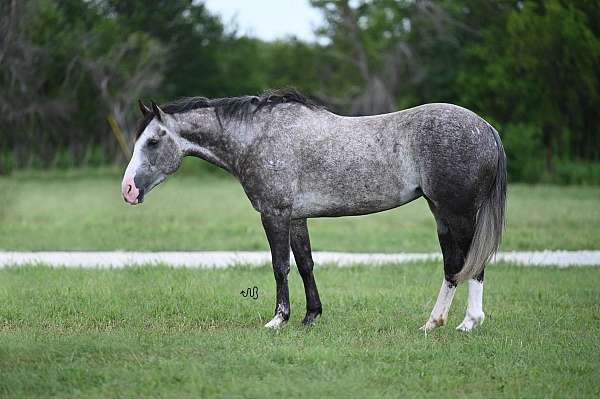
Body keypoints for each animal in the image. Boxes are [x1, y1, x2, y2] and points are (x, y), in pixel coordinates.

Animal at [122, 89, 506, 332]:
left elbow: (280, 266)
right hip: (441, 214)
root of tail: (486, 127)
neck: (256, 138)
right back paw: (433, 322)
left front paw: (278, 320)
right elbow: (305, 264)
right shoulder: (296, 217)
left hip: (458, 214)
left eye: (152, 141)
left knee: (472, 264)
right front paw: (311, 316)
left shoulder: (274, 214)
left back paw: (469, 323)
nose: (127, 190)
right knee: (453, 265)